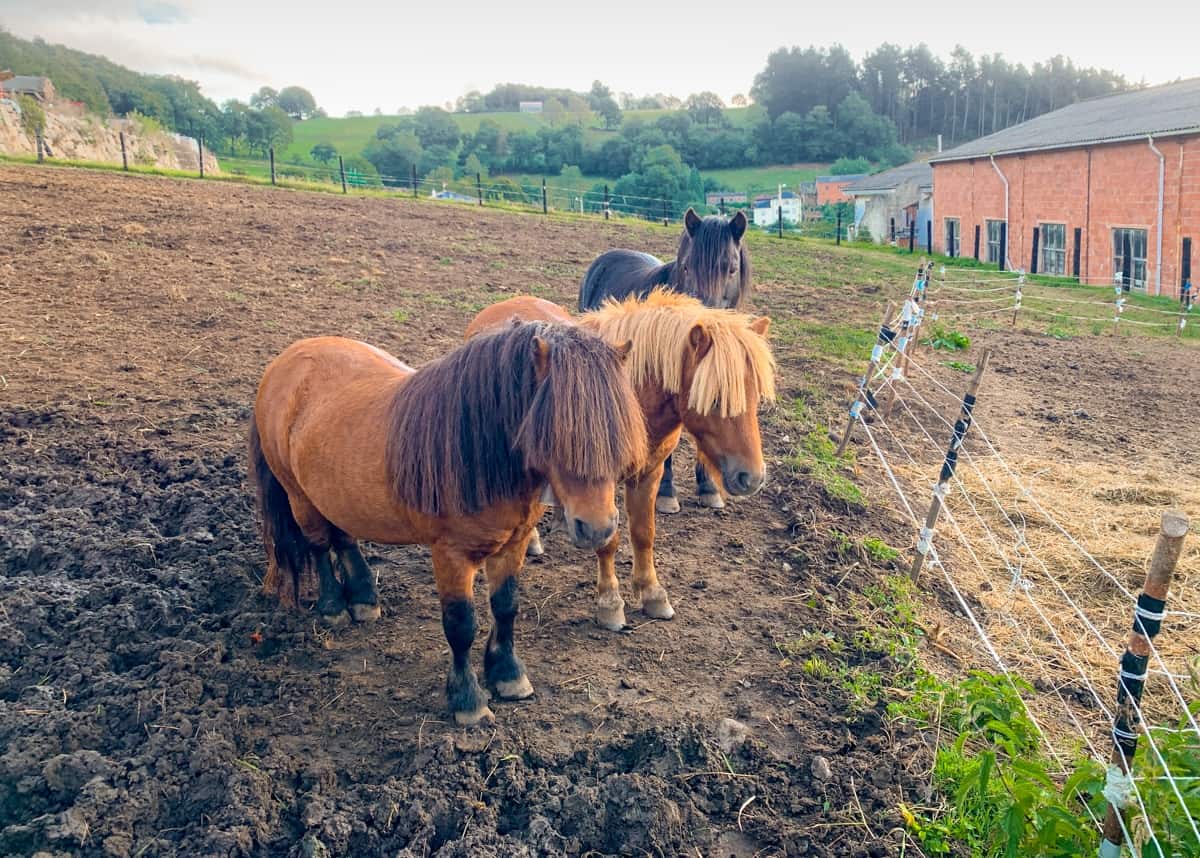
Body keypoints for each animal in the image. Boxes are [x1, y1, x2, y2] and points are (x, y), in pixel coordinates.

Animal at [250, 326, 648, 729]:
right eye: (552, 430)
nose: (597, 528)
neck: (479, 457)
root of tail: (286, 361)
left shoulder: (514, 543)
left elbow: (506, 606)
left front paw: (508, 674)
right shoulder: (451, 555)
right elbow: (460, 625)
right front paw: (467, 699)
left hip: (337, 494)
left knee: (344, 538)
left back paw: (364, 598)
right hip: (299, 496)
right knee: (318, 545)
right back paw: (333, 607)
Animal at [463, 291, 772, 633]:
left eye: (756, 395)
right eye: (716, 399)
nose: (752, 478)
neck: (633, 397)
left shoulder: (649, 473)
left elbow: (643, 533)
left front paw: (652, 593)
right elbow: (608, 541)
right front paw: (610, 603)